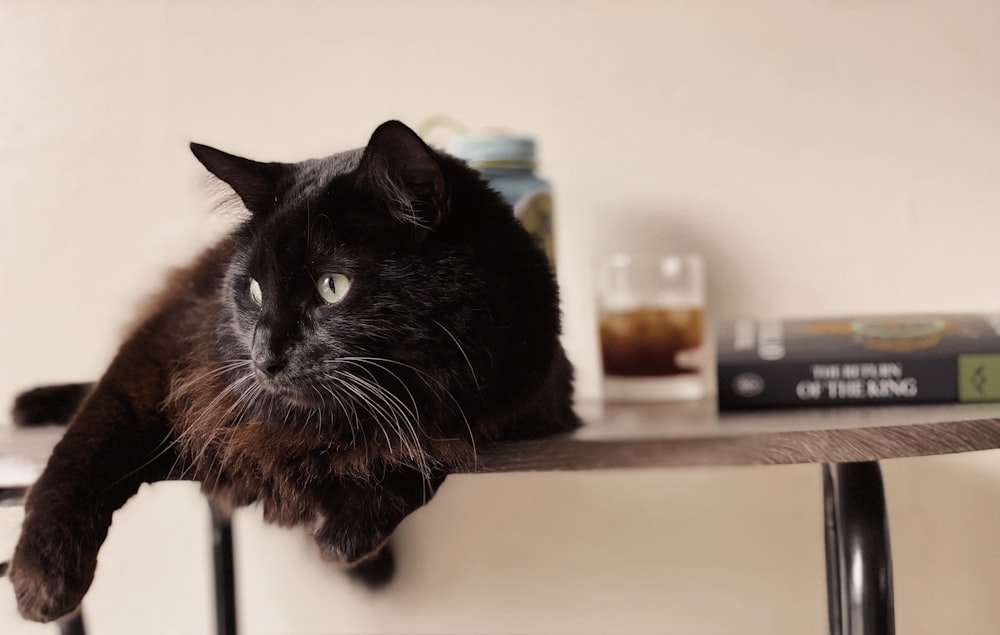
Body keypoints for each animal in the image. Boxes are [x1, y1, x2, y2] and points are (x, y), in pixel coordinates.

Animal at [7, 119, 580, 620]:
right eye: (254, 290)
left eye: (333, 287)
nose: (263, 356)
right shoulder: (158, 357)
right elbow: (85, 448)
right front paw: (42, 577)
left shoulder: (522, 404)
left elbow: (421, 451)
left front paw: (349, 532)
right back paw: (31, 403)